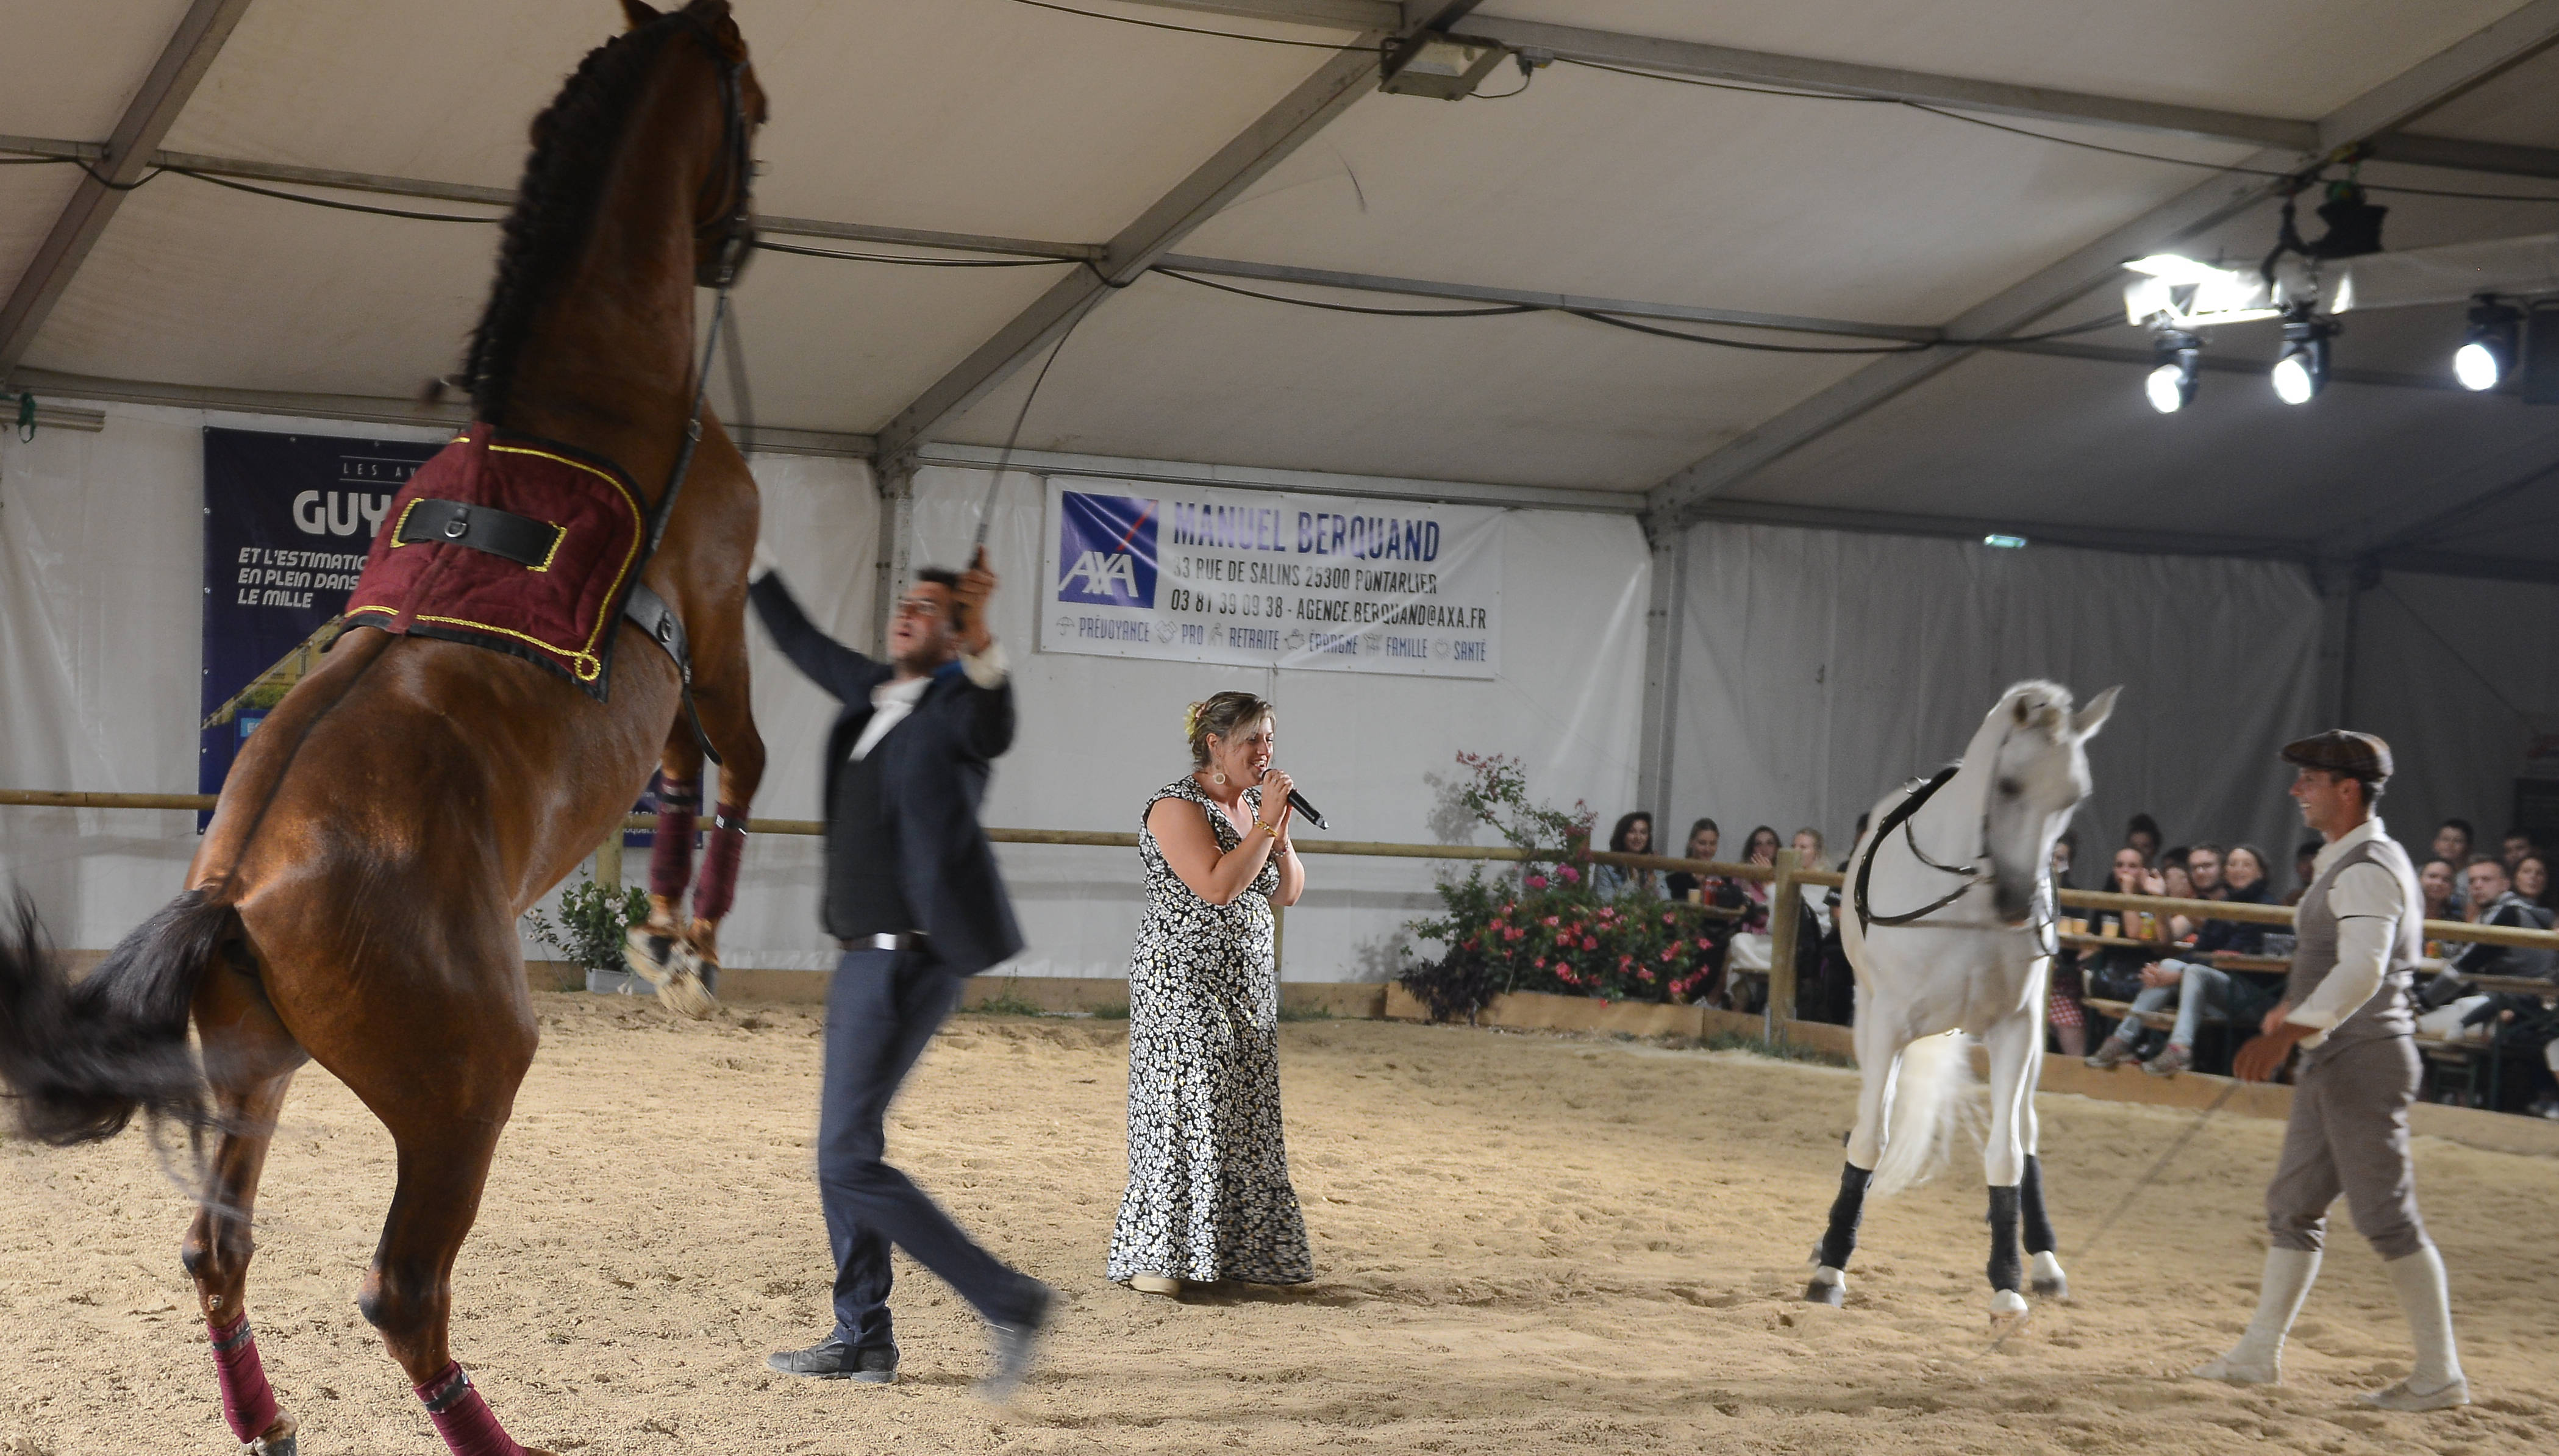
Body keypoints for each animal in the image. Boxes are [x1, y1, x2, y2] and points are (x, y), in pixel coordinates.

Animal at [0, 5, 757, 1443]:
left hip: (254, 1074)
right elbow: (739, 762)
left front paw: (659, 934)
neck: (590, 394)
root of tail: (235, 889)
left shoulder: (680, 674)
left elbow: (691, 771)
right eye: (749, 92)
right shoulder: (722, 610)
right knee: (402, 1290)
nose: (737, 239)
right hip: (467, 1087)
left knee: (219, 1250)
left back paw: (269, 1423)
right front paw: (685, 946)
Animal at [1801, 675, 2119, 1320]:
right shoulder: (1887, 1026)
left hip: (2033, 1042)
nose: (2019, 905)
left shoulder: (2014, 1029)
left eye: (2074, 796)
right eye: (2009, 784)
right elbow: (1869, 1137)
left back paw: (2044, 1264)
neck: (1965, 905)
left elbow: (2007, 1154)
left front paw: (2007, 1283)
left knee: (2026, 1130)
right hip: (1868, 1020)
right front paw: (1829, 1267)